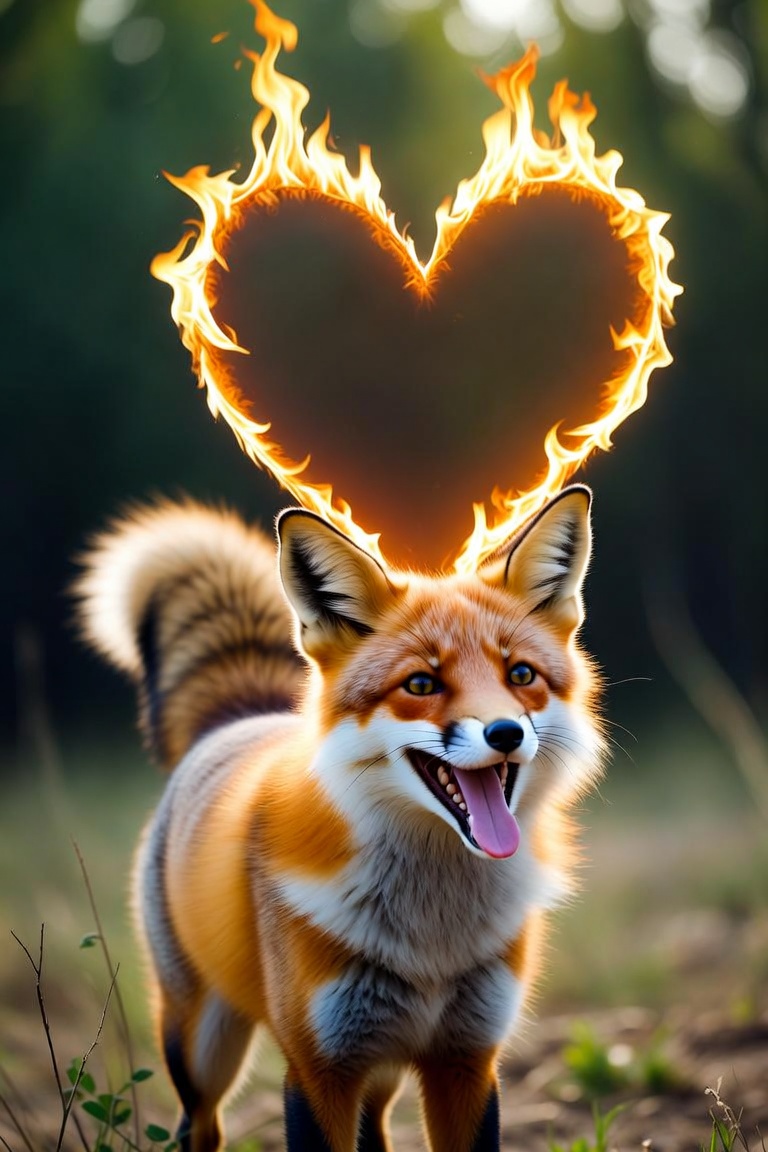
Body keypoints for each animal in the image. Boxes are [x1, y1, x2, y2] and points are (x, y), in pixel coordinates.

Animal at [75, 485, 605, 1152]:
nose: (506, 733)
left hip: (380, 1069)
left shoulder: (467, 1059)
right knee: (196, 1128)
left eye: (520, 675)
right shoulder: (317, 1067)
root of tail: (240, 718)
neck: (433, 936)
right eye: (422, 683)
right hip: (204, 1051)